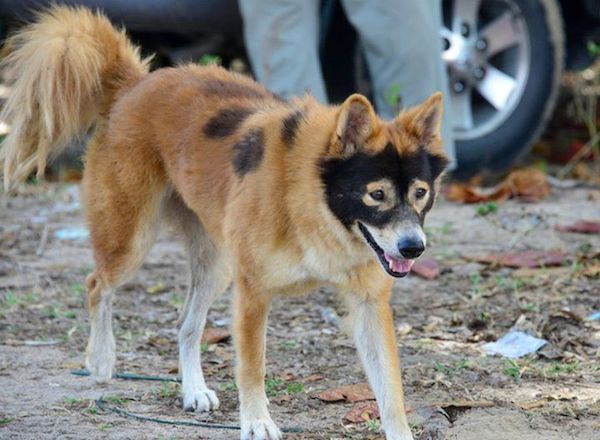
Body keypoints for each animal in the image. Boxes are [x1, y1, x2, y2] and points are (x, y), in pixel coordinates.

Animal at [0, 6, 448, 440]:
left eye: (420, 193)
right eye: (377, 195)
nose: (414, 248)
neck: (312, 201)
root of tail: (135, 84)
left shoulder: (370, 305)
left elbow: (390, 387)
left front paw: (401, 433)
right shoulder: (252, 293)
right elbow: (252, 367)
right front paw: (257, 422)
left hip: (216, 266)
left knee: (186, 326)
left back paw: (193, 390)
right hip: (132, 239)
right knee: (97, 286)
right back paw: (101, 358)